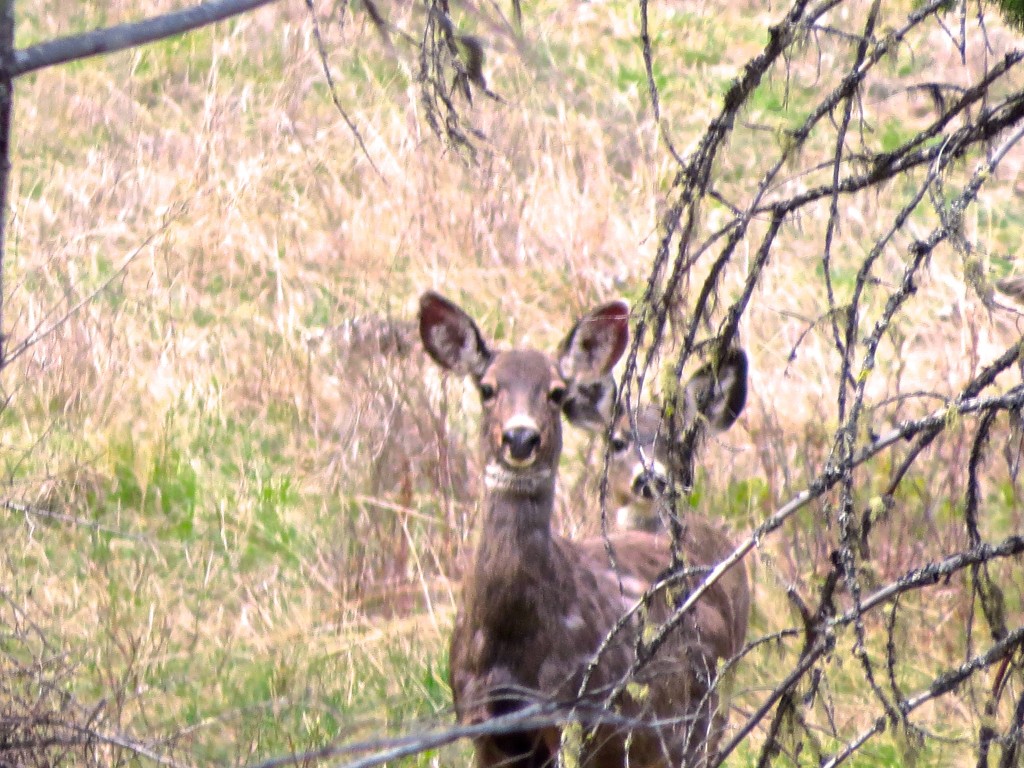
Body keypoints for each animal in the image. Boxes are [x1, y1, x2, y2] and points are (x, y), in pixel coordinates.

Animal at [417, 290, 753, 765]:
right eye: (487, 389)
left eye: (556, 392)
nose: (520, 438)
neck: (512, 637)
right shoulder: (480, 720)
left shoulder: (577, 712)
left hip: (704, 706)